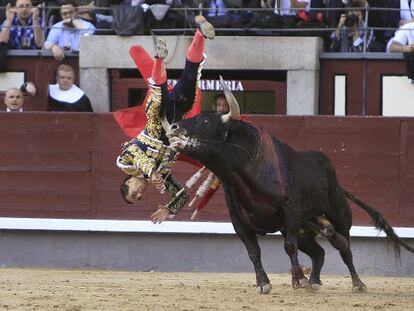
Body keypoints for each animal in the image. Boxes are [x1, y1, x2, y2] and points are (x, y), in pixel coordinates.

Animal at [163, 83, 412, 294]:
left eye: (206, 122)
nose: (174, 127)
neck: (246, 171)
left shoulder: (290, 213)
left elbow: (289, 247)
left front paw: (297, 280)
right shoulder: (239, 222)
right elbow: (253, 252)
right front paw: (264, 283)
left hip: (339, 217)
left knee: (344, 247)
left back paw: (357, 283)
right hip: (306, 228)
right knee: (319, 251)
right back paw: (314, 281)